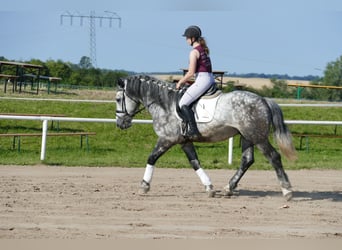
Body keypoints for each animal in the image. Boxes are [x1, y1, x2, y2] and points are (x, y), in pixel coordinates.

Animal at [115, 73, 296, 199]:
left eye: (118, 99)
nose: (120, 123)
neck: (164, 104)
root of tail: (264, 100)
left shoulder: (167, 139)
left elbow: (151, 158)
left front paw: (144, 186)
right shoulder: (184, 141)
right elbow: (195, 162)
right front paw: (209, 188)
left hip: (258, 137)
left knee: (274, 157)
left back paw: (287, 191)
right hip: (247, 137)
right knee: (247, 160)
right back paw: (229, 188)